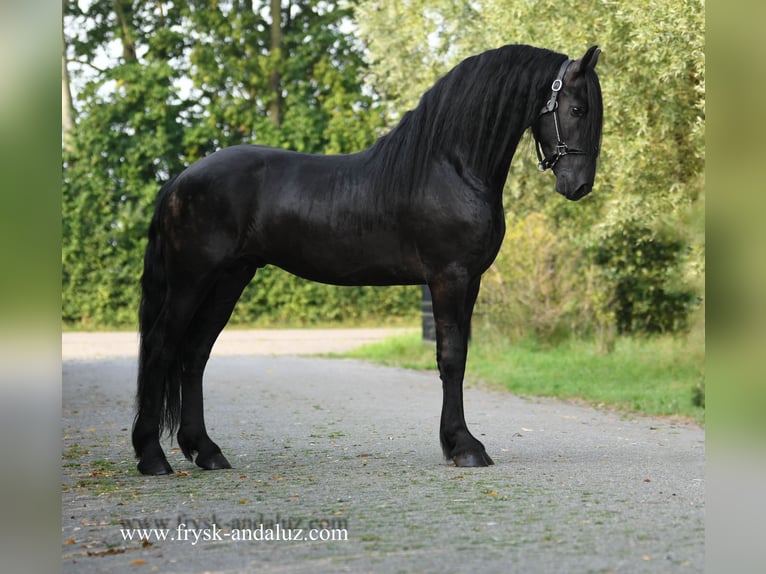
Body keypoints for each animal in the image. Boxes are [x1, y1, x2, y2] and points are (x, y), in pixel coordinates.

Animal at [132, 43, 603, 475]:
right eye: (577, 108)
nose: (579, 186)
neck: (450, 166)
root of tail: (178, 180)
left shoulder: (471, 281)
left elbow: (461, 355)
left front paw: (457, 442)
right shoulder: (449, 277)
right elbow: (451, 358)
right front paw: (465, 447)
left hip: (229, 279)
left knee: (194, 354)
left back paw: (206, 451)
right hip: (192, 279)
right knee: (161, 346)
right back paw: (152, 457)